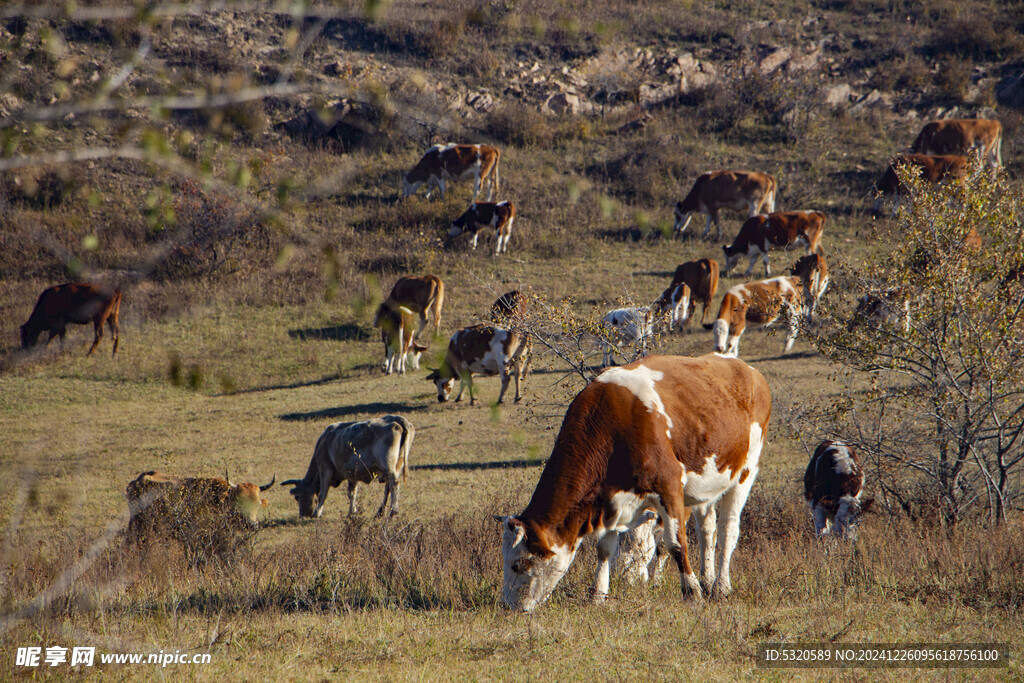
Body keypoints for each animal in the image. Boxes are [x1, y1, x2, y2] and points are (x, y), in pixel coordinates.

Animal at [282, 417, 413, 518]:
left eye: (297, 497)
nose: (302, 515)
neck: (325, 441)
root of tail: (397, 421)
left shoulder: (325, 469)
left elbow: (323, 493)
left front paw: (317, 513)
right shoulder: (352, 474)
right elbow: (352, 493)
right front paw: (352, 512)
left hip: (388, 465)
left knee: (394, 483)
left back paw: (393, 511)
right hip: (397, 465)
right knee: (388, 487)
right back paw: (380, 513)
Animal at [495, 356, 770, 610]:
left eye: (518, 564)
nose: (508, 606)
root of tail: (748, 369)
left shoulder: (669, 486)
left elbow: (676, 543)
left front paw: (691, 592)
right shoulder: (610, 500)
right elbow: (604, 548)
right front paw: (598, 595)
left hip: (745, 472)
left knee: (727, 530)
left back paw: (721, 587)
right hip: (707, 483)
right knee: (707, 530)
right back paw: (707, 579)